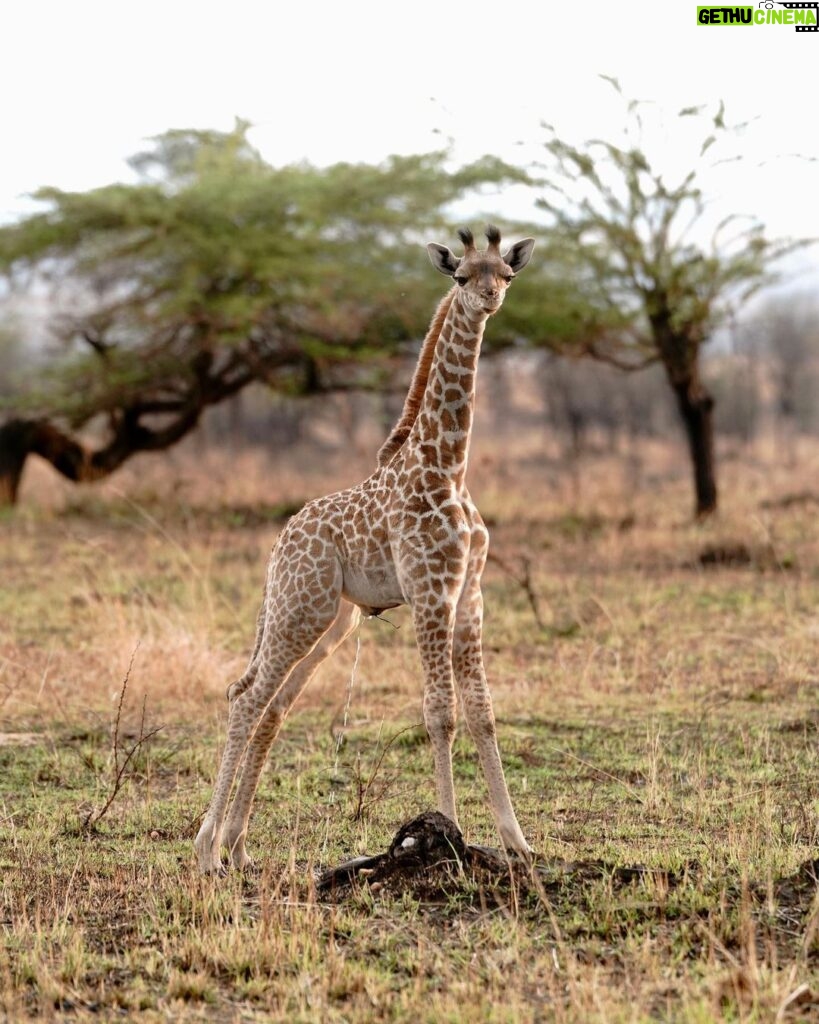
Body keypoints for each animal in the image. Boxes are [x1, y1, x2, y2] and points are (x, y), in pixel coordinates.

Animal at [194, 224, 532, 872]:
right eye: (461, 276)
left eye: (505, 274)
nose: (490, 301)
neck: (448, 465)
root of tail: (278, 546)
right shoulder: (430, 593)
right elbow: (439, 712)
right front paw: (447, 836)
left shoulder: (470, 595)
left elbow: (483, 713)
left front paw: (517, 842)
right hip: (300, 609)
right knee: (246, 697)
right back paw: (206, 851)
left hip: (332, 621)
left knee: (274, 706)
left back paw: (238, 847)